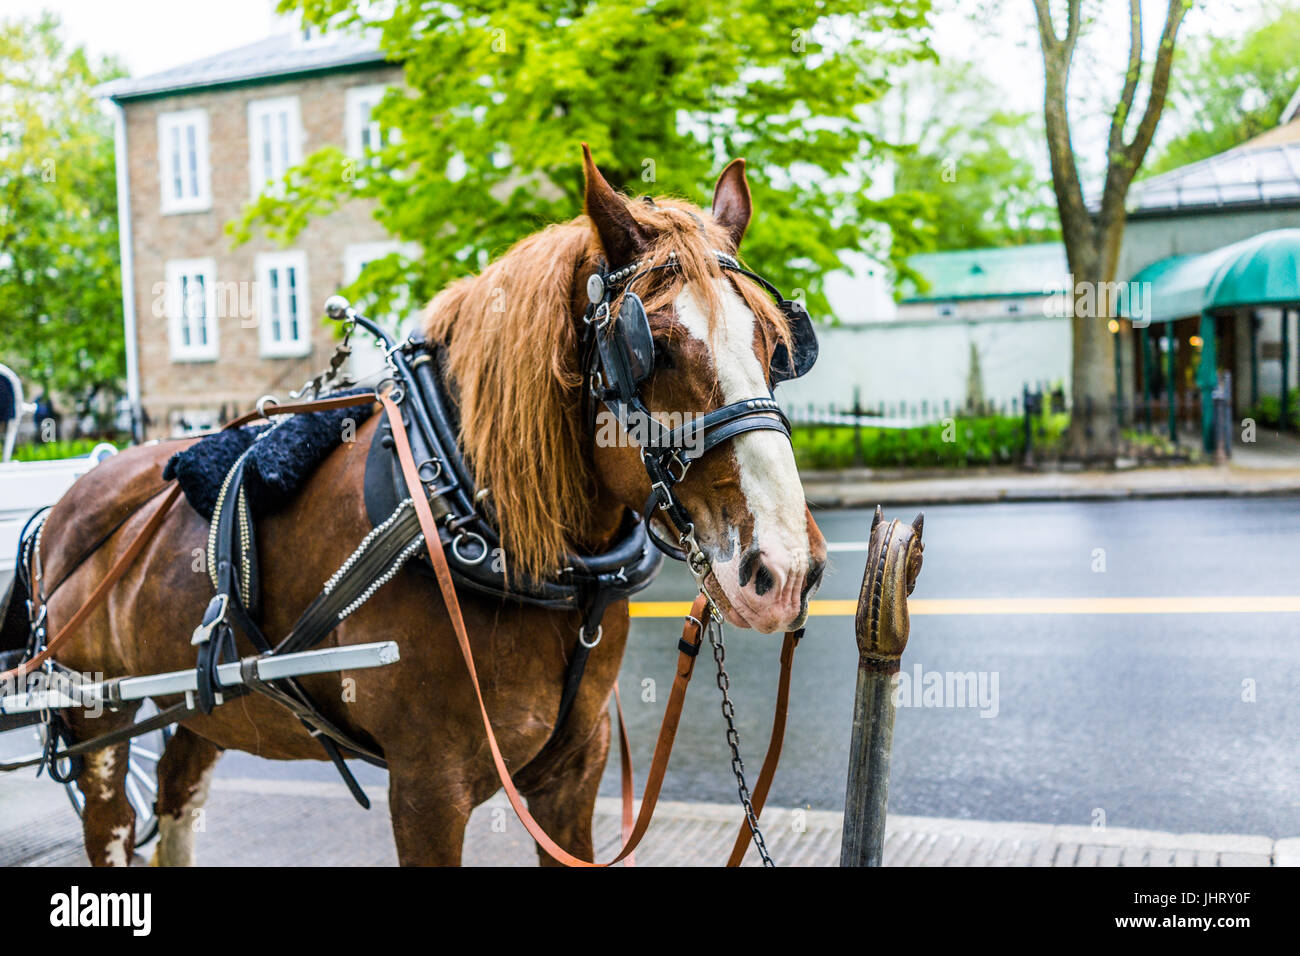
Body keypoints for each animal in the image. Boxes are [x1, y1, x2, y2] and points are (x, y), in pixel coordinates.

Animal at [3, 147, 828, 866]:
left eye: (777, 342)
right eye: (649, 347)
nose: (786, 569)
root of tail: (62, 505)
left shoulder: (571, 777)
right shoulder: (428, 788)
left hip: (203, 699)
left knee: (178, 791)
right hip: (97, 712)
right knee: (113, 823)